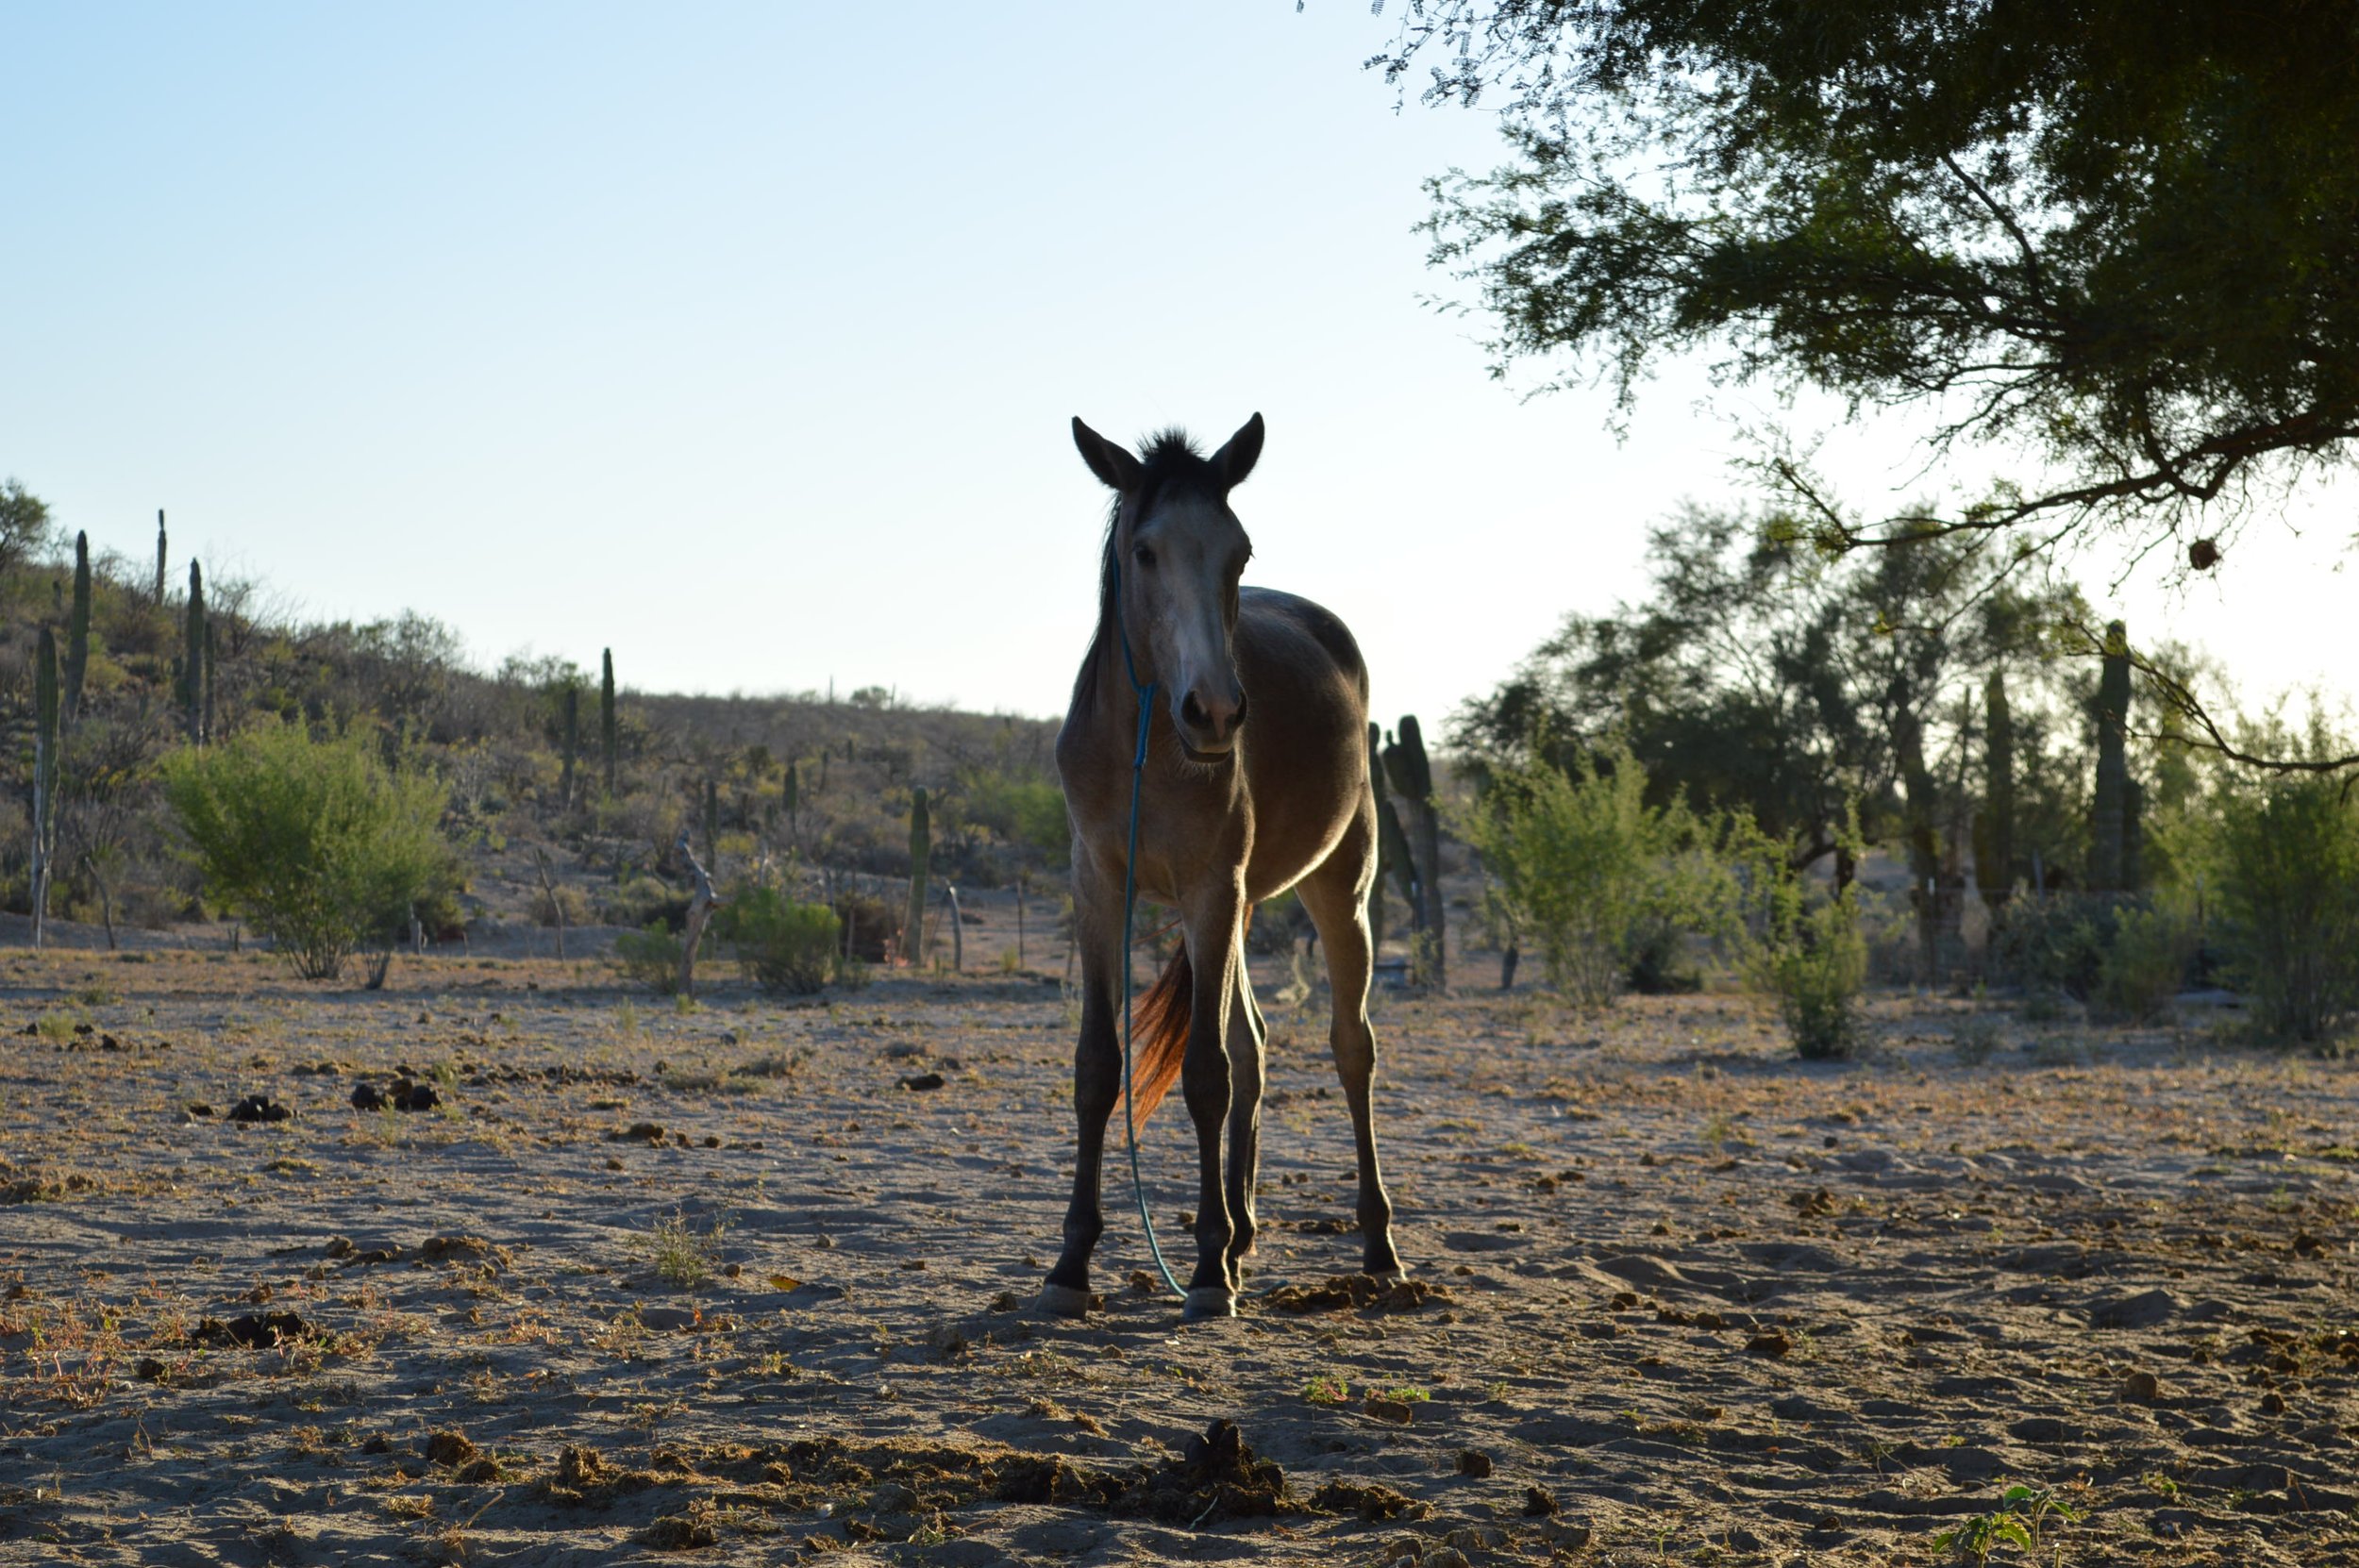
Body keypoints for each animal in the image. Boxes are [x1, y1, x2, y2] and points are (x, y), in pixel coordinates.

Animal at [1038, 411, 1404, 1322]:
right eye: (1145, 551)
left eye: (1239, 552)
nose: (1214, 712)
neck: (1147, 744)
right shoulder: (1099, 889)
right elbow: (1098, 1066)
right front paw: (1072, 1261)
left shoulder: (1210, 889)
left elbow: (1206, 1073)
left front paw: (1205, 1268)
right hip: (1241, 909)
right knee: (1256, 1045)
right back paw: (1240, 1231)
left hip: (1337, 889)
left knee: (1350, 1048)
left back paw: (1374, 1244)